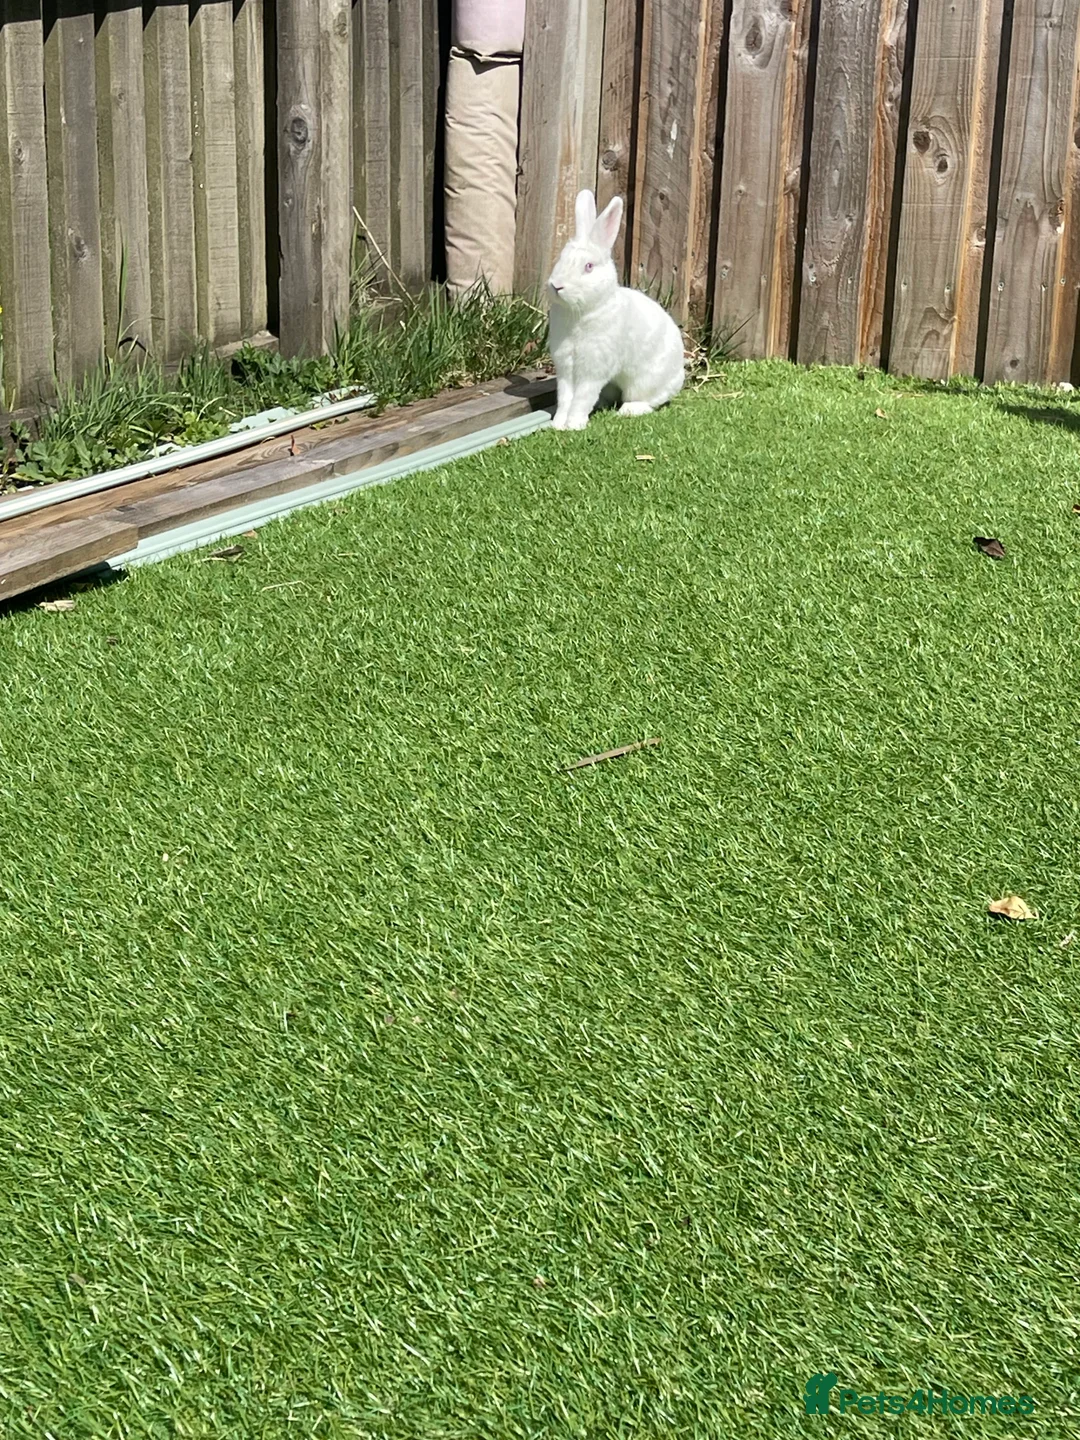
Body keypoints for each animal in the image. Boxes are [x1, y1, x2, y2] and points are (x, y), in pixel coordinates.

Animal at [546, 189, 686, 431]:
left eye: (589, 266)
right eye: (561, 259)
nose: (556, 285)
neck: (579, 313)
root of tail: (680, 376)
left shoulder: (593, 369)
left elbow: (581, 398)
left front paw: (574, 425)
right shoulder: (565, 368)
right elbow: (565, 398)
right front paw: (558, 424)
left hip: (644, 382)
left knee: (649, 400)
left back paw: (629, 410)